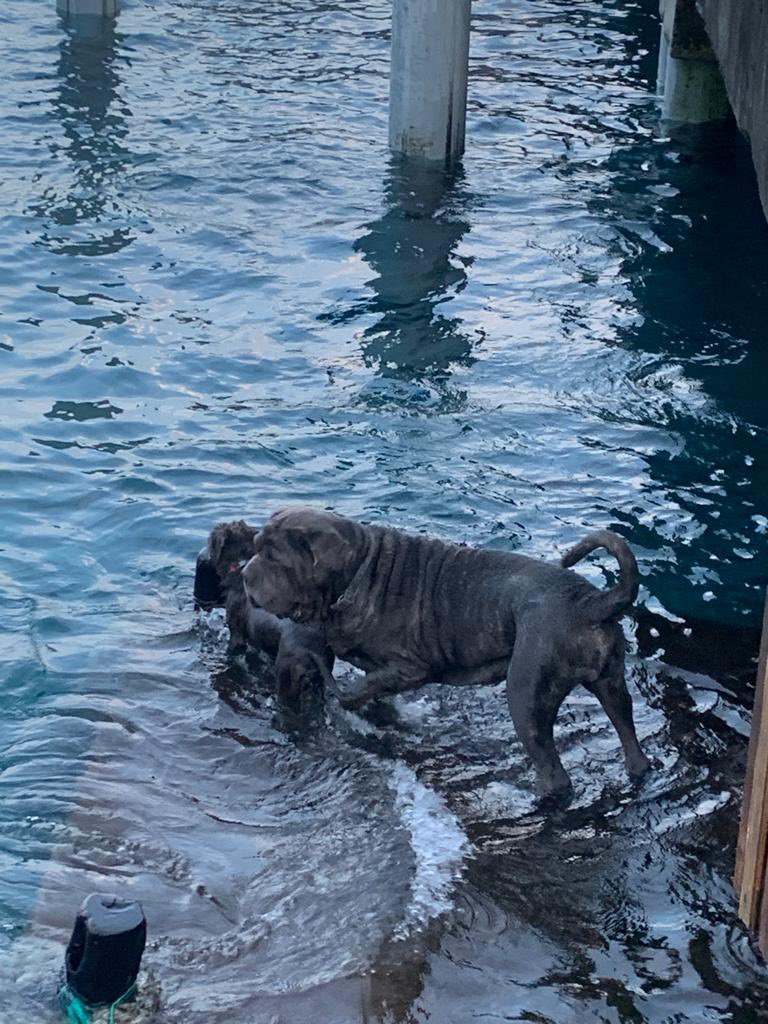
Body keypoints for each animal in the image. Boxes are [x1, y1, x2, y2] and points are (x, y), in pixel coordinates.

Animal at [243, 509, 651, 798]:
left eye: (274, 558)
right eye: (256, 546)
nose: (245, 573)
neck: (357, 574)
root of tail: (589, 603)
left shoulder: (410, 667)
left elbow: (361, 689)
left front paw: (348, 698)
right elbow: (374, 690)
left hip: (526, 695)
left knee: (552, 770)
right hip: (612, 684)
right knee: (628, 736)